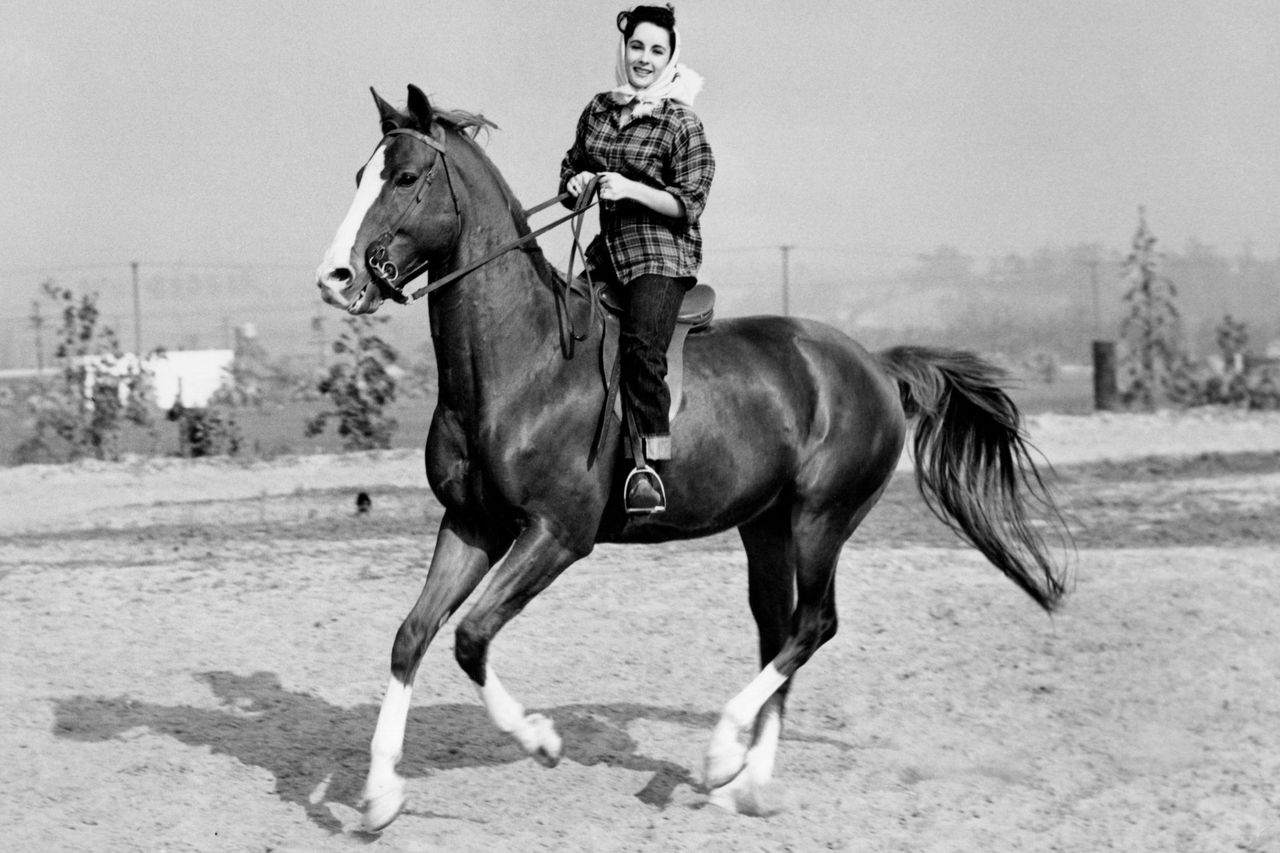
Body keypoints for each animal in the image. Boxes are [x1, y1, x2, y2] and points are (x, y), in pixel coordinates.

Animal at [315, 84, 1070, 831]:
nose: (335, 277)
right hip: (766, 526)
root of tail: (876, 366)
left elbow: (471, 636)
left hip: (821, 519)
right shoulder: (472, 523)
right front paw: (379, 795)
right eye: (358, 176)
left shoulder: (557, 534)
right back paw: (748, 784)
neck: (523, 366)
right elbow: (413, 634)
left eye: (405, 178)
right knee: (780, 631)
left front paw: (542, 740)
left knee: (814, 625)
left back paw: (721, 754)